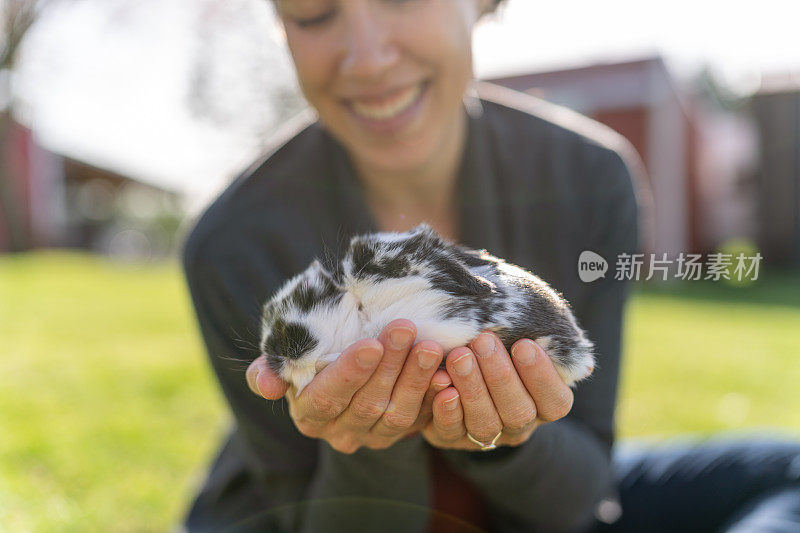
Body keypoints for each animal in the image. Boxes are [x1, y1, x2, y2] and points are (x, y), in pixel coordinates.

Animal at [258, 222, 592, 392]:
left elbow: (451, 265)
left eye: (307, 298)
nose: (274, 353)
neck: (362, 317)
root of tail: (580, 348)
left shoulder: (387, 254)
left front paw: (484, 285)